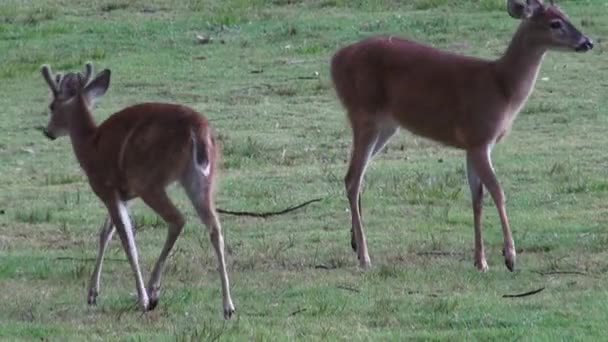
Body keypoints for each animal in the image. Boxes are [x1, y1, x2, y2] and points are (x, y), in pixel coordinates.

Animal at [40, 62, 235, 320]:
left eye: (52, 106)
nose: (48, 131)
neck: (89, 144)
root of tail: (198, 128)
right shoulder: (124, 194)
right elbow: (105, 233)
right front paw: (92, 294)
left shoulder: (106, 188)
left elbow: (126, 239)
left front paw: (140, 298)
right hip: (201, 179)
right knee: (215, 227)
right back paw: (228, 306)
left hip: (149, 180)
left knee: (177, 219)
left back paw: (152, 292)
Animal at [332, 0, 592, 272]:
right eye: (555, 23)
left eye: (565, 14)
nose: (587, 42)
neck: (502, 87)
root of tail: (334, 61)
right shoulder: (480, 138)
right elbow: (497, 191)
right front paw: (510, 257)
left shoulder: (471, 145)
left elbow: (477, 198)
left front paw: (480, 261)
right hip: (364, 114)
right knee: (352, 178)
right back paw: (365, 257)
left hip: (386, 125)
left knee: (358, 176)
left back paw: (354, 244)